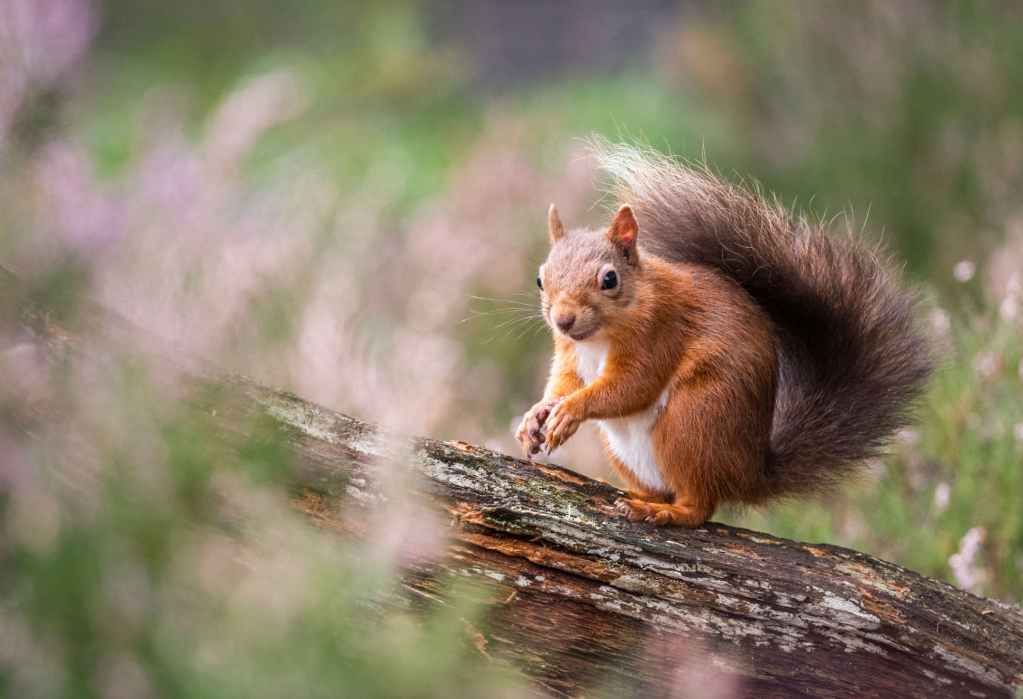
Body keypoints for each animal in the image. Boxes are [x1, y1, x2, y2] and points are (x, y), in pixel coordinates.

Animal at [515, 139, 932, 528]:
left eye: (609, 280)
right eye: (540, 279)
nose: (563, 320)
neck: (596, 339)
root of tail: (749, 473)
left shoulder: (660, 333)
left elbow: (632, 386)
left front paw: (570, 411)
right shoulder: (570, 355)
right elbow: (564, 383)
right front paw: (535, 415)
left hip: (693, 419)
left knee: (699, 505)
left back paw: (660, 511)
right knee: (666, 490)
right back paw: (634, 493)